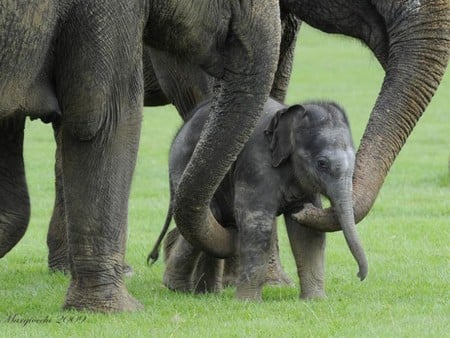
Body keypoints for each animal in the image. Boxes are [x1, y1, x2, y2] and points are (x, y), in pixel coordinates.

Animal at [149, 97, 366, 302]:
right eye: (322, 163)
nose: (359, 276)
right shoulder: (257, 164)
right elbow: (257, 222)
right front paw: (247, 303)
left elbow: (308, 234)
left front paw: (315, 301)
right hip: (183, 165)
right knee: (209, 215)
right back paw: (176, 286)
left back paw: (206, 293)